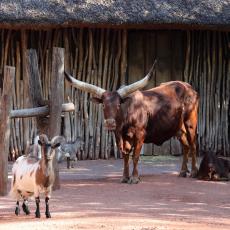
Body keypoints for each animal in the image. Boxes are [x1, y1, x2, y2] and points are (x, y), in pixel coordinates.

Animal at [65, 61, 199, 183]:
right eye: (103, 105)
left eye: (118, 105)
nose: (110, 123)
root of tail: (189, 87)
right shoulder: (121, 136)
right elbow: (125, 155)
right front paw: (125, 177)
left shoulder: (140, 134)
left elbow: (135, 156)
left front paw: (134, 178)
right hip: (178, 128)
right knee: (186, 146)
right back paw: (183, 172)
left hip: (191, 123)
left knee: (193, 146)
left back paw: (194, 172)